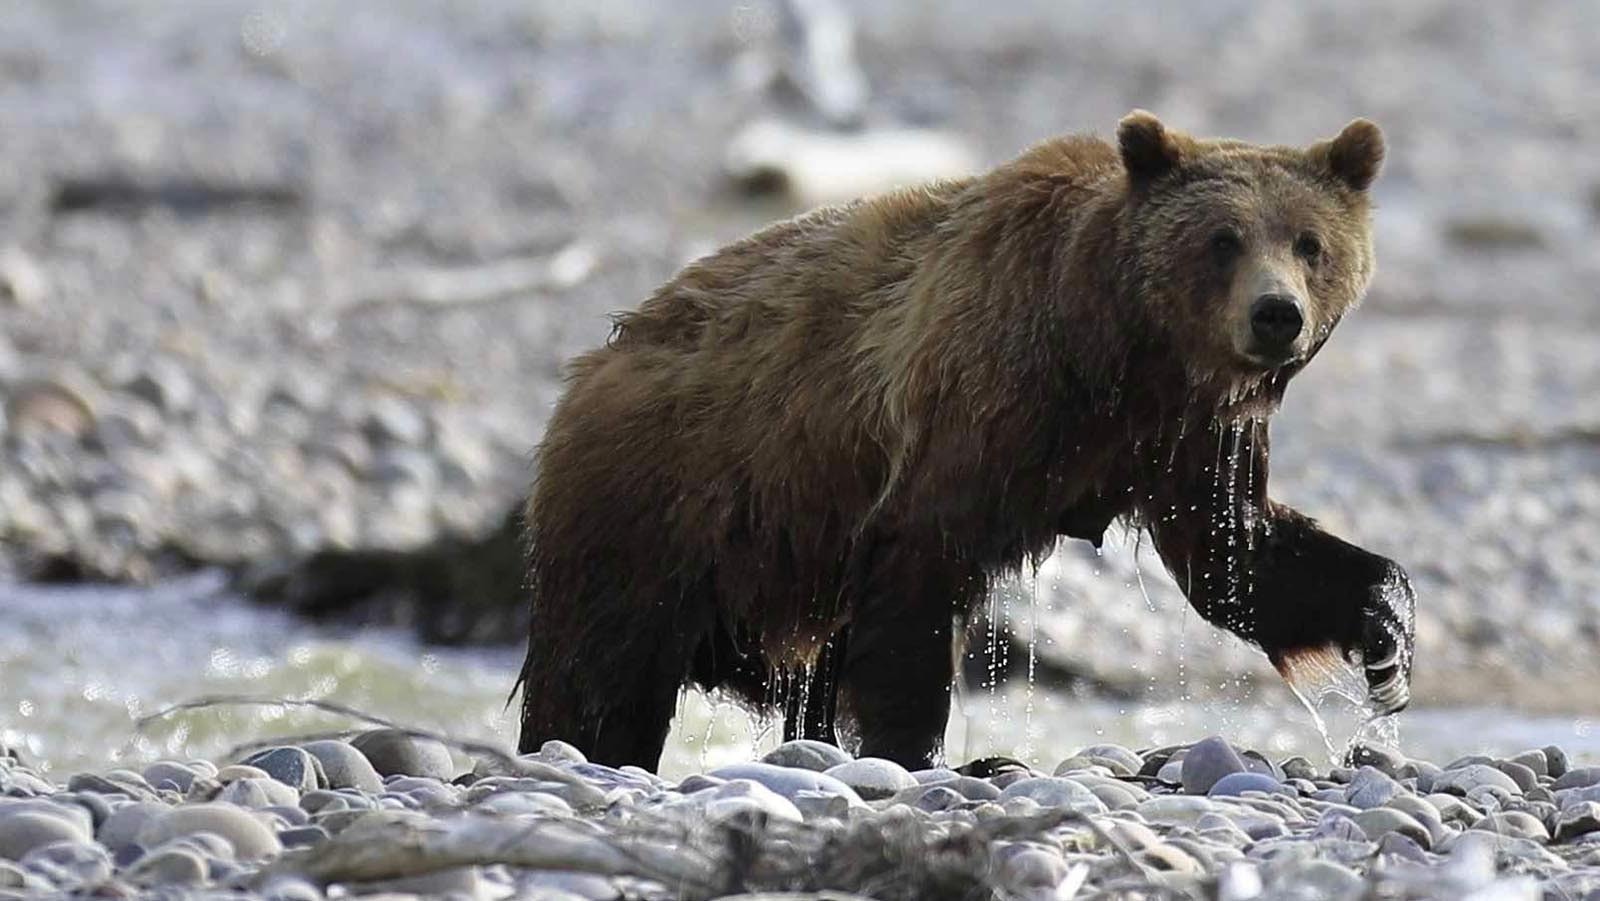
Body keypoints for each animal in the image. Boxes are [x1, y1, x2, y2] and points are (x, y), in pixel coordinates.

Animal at [512, 112, 1414, 771]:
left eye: (1309, 242)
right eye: (1221, 239)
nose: (1276, 314)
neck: (1116, 351)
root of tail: (593, 361)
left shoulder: (1190, 437)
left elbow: (1236, 558)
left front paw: (1388, 633)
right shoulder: (975, 401)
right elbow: (919, 575)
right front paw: (926, 753)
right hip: (665, 503)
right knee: (600, 673)